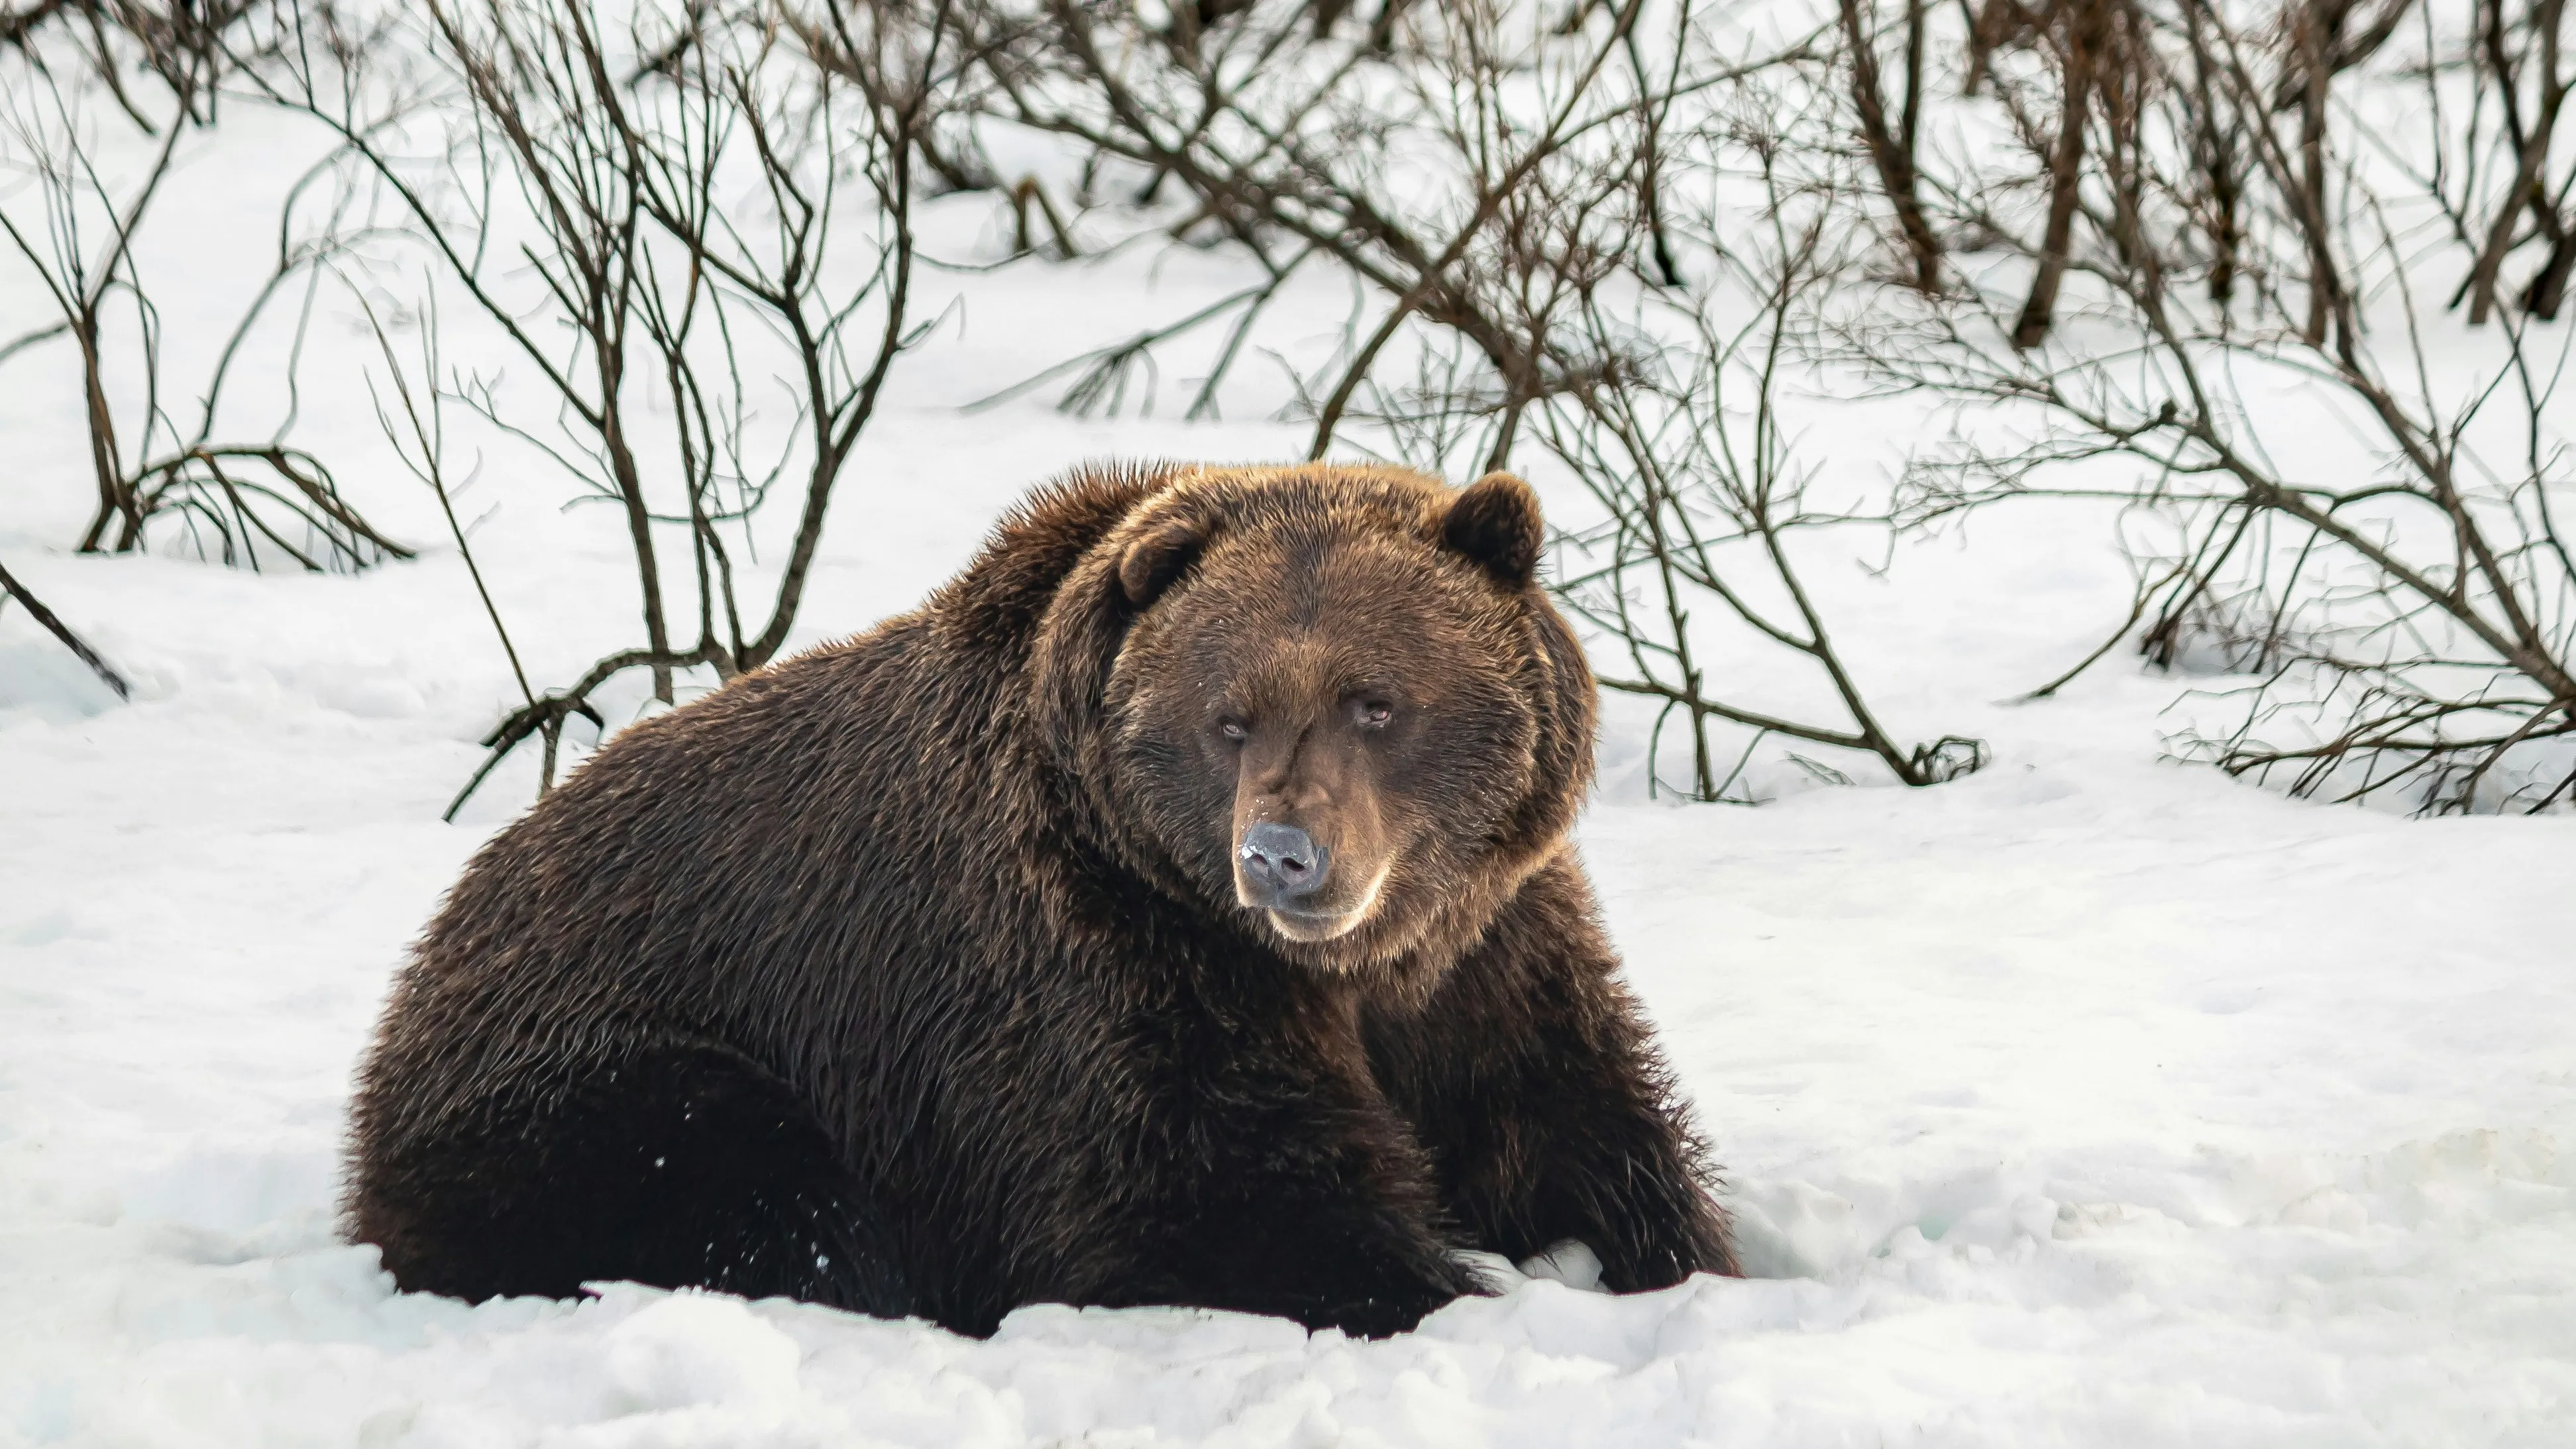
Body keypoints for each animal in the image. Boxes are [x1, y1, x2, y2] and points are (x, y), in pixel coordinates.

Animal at [343, 461, 1741, 1330]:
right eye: (1227, 717)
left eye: (1375, 700)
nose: (1282, 855)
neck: (1346, 968)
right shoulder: (1099, 965)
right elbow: (1214, 1195)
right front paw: (1440, 1287)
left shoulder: (1487, 950)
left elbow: (1581, 1123)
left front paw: (1679, 1261)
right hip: (608, 1067)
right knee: (754, 1185)